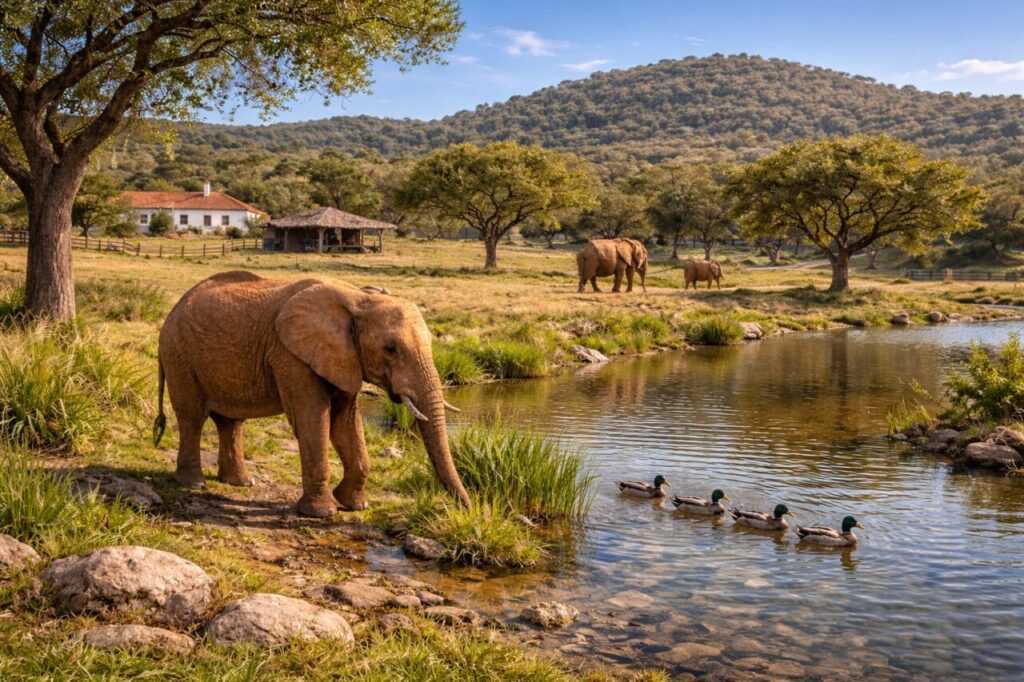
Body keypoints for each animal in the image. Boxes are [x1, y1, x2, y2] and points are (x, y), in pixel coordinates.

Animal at [153, 271, 471, 518]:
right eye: (390, 349)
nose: (466, 509)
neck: (357, 298)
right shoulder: (289, 354)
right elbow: (312, 419)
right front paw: (322, 513)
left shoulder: (345, 358)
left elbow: (345, 424)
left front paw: (355, 505)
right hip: (179, 354)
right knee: (192, 417)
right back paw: (194, 484)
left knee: (230, 422)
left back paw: (242, 483)